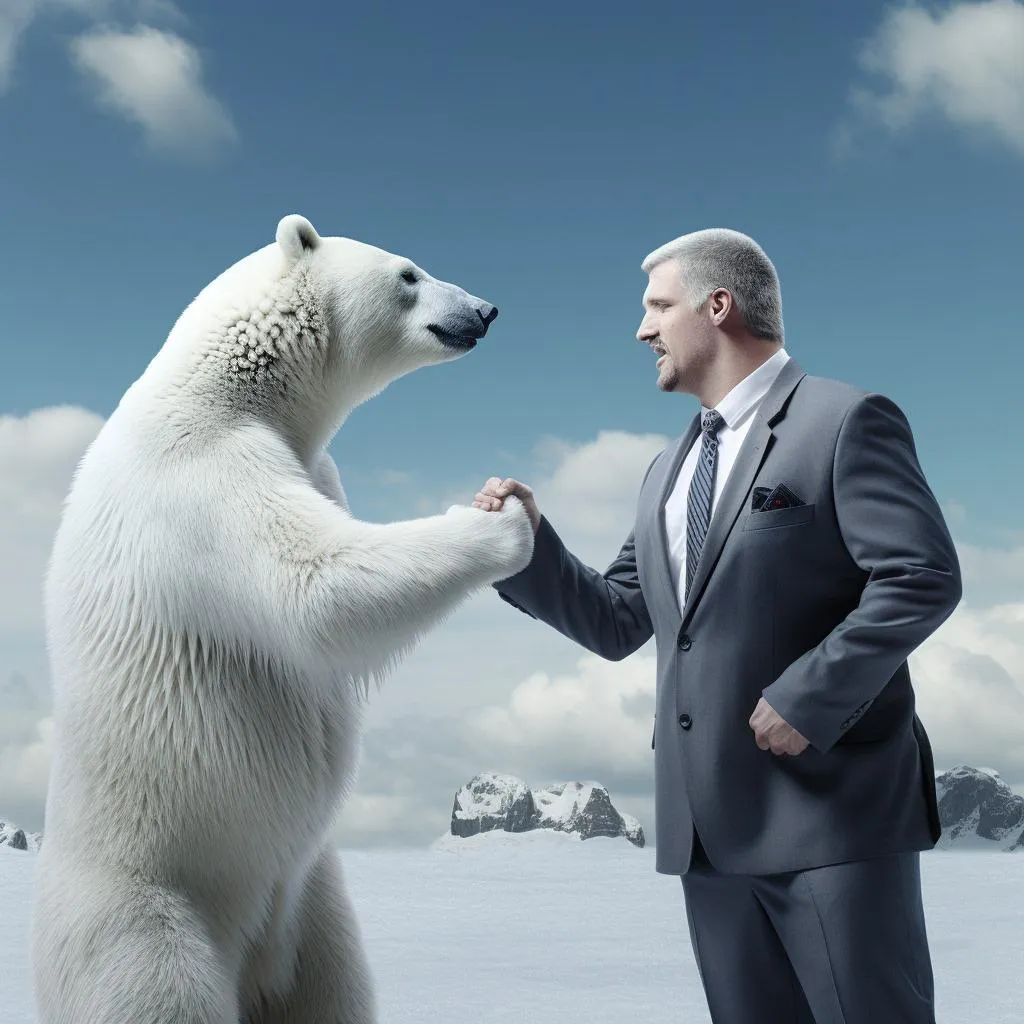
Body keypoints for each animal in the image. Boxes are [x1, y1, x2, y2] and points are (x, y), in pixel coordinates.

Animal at [29, 211, 536, 1019]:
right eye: (408, 272)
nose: (484, 311)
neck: (225, 386)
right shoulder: (201, 472)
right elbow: (314, 589)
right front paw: (502, 518)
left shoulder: (315, 464)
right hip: (145, 901)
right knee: (160, 990)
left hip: (311, 905)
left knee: (332, 989)